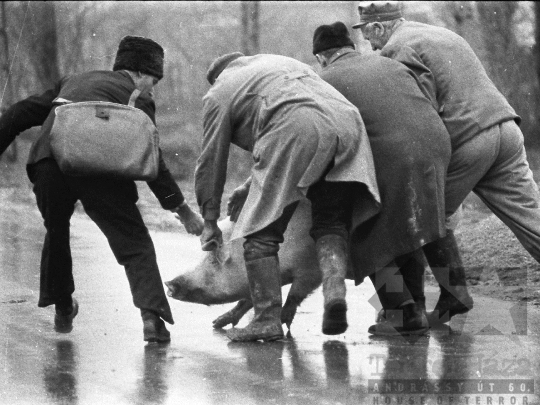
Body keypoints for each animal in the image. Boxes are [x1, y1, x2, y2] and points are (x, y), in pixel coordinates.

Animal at [163, 199, 330, 328]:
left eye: (213, 260)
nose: (168, 284)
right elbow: (249, 298)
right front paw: (216, 324)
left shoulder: (310, 271)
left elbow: (295, 295)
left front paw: (283, 323)